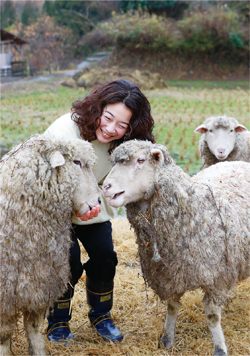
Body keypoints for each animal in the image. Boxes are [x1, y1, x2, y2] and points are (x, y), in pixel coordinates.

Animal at [0, 134, 100, 356]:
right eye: (77, 162)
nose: (96, 203)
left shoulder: (39, 284)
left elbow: (34, 328)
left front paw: (38, 351)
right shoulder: (5, 295)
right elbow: (4, 335)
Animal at [102, 139, 250, 356]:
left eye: (140, 160)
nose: (106, 187)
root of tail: (239, 163)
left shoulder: (217, 279)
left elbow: (212, 317)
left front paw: (220, 348)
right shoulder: (170, 274)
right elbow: (172, 307)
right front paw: (167, 339)